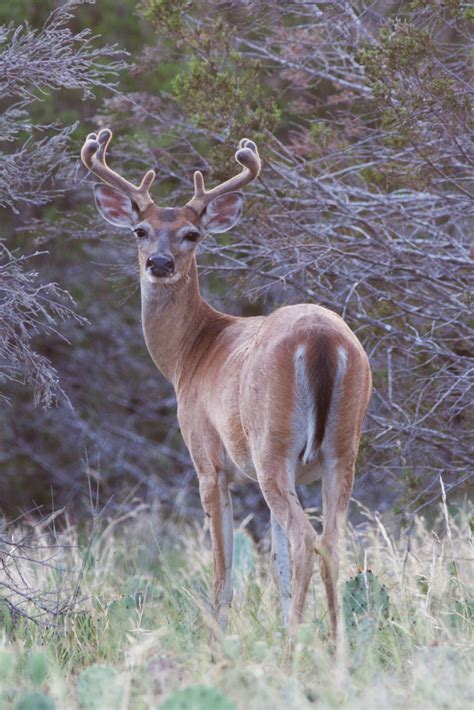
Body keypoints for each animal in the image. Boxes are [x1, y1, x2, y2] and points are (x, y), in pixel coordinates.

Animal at [80, 128, 370, 640]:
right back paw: (335, 644)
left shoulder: (208, 458)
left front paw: (217, 639)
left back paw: (295, 647)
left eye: (192, 234)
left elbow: (223, 569)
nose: (159, 263)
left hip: (272, 442)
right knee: (331, 541)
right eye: (140, 230)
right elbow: (274, 566)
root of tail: (321, 338)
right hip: (342, 446)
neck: (190, 353)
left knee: (305, 538)